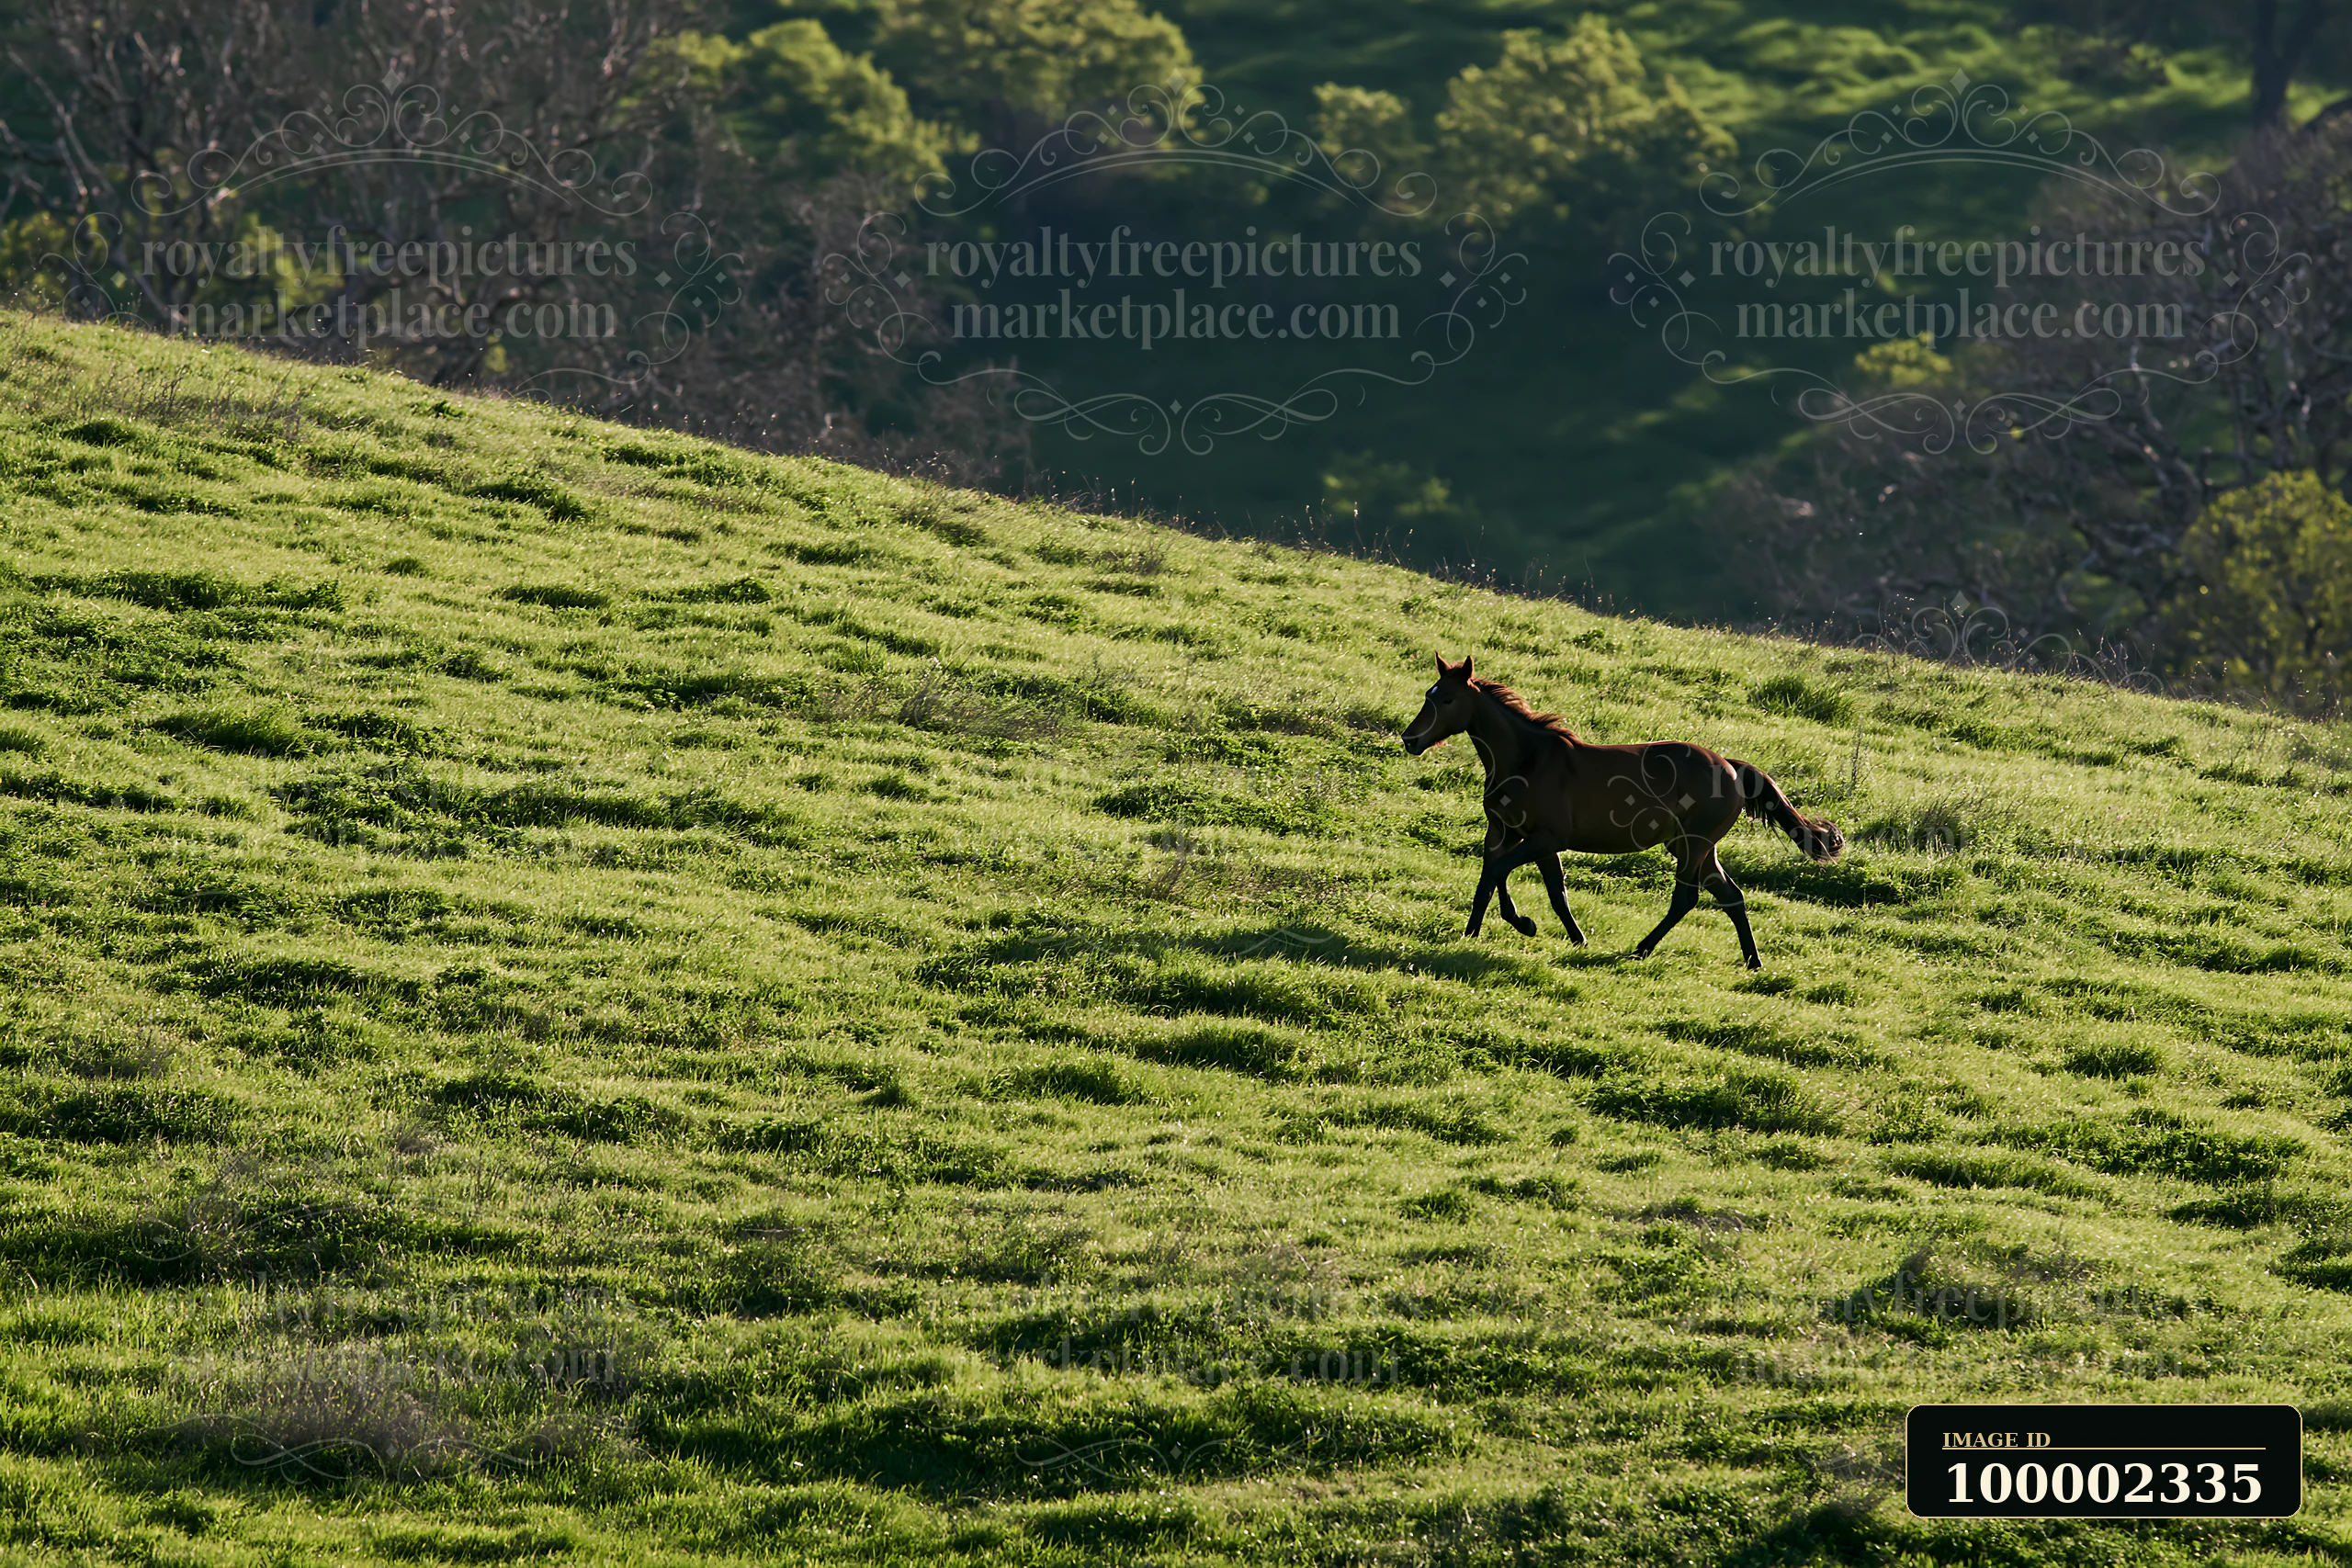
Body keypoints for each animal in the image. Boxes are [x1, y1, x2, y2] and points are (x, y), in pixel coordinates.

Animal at [1399, 653, 1843, 968]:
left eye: (1448, 699)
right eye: (1427, 695)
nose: (1410, 740)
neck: (1527, 761)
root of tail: (1733, 769)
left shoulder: (1544, 838)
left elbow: (1501, 874)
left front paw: (1525, 924)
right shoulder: (1507, 832)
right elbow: (1517, 884)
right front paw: (1478, 933)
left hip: (1694, 844)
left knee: (1686, 898)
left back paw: (1641, 950)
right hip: (1693, 847)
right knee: (1731, 896)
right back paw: (1753, 963)